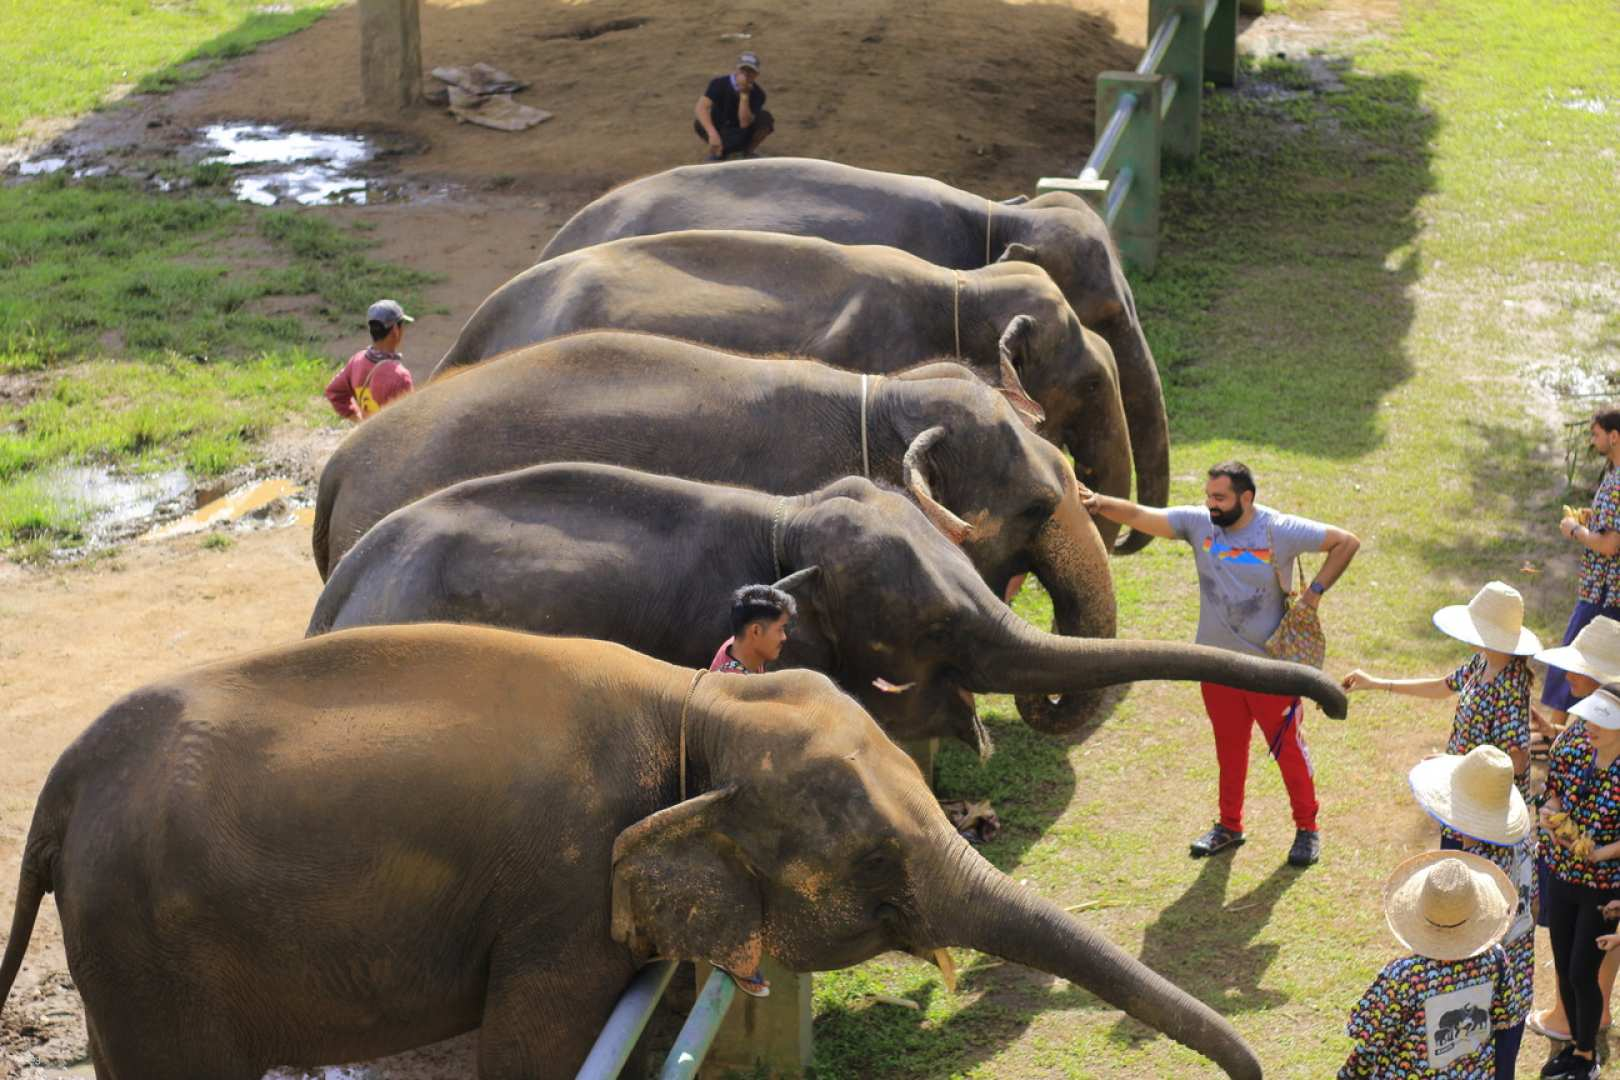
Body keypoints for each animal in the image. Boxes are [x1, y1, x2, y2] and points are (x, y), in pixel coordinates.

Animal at [0, 625, 1266, 1079]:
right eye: (878, 872)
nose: (1250, 1069)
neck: (696, 704)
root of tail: (62, 782)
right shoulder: (556, 894)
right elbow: (531, 1053)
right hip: (151, 943)